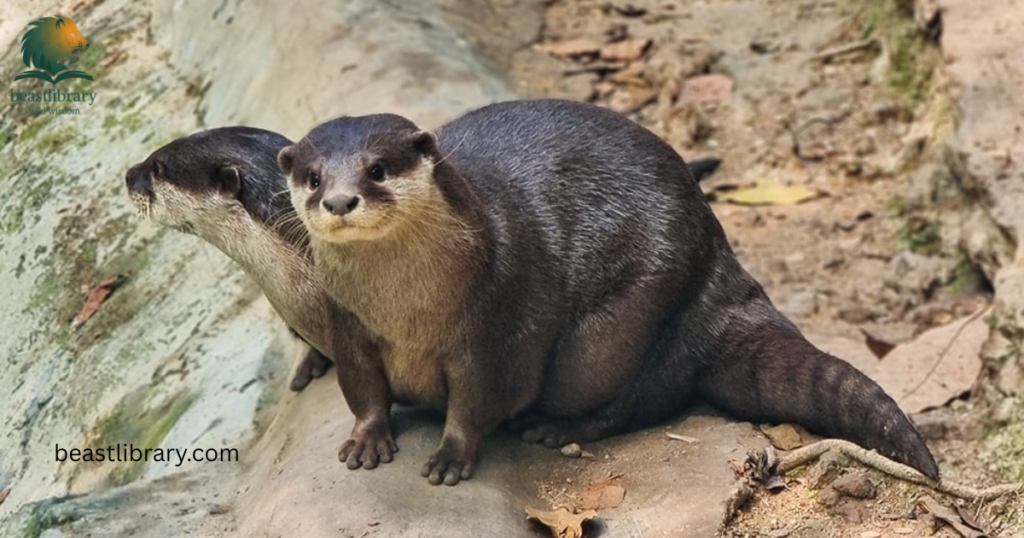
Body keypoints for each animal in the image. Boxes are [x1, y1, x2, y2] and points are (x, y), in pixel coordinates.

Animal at [280, 99, 940, 486]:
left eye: (378, 169)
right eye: (312, 178)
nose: (339, 200)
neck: (406, 310)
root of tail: (717, 263)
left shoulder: (494, 326)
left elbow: (479, 400)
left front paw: (449, 457)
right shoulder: (348, 324)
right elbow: (363, 389)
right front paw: (367, 440)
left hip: (622, 321)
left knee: (639, 401)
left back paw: (558, 429)